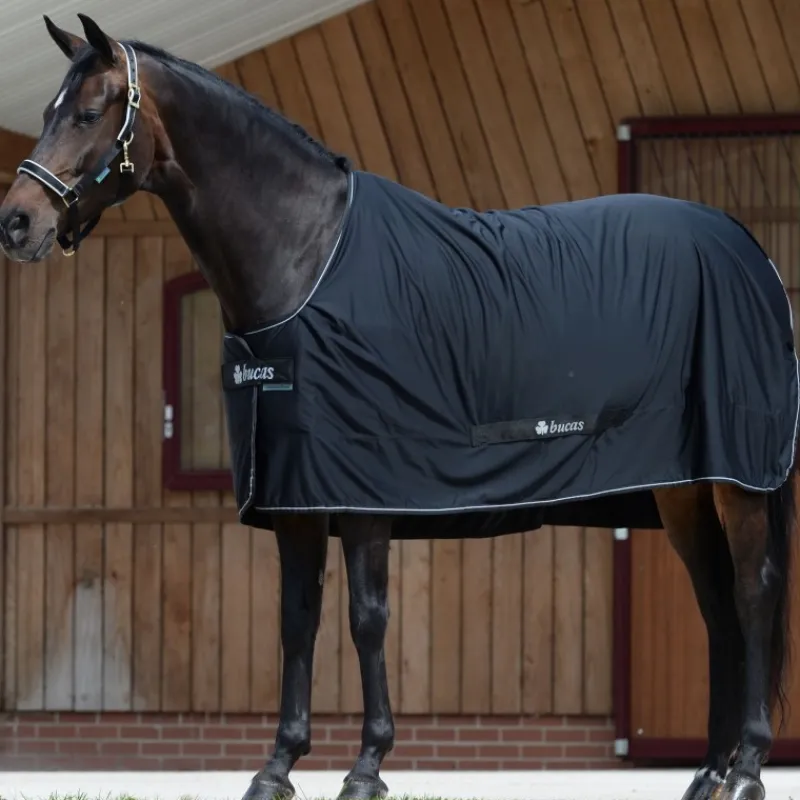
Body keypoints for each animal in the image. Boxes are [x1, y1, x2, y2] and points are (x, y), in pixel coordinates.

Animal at [0, 14, 796, 800]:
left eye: (91, 112)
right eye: (44, 113)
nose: (16, 222)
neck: (305, 258)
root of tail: (748, 250)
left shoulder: (364, 494)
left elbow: (366, 618)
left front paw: (367, 766)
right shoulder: (296, 494)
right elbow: (298, 620)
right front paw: (278, 765)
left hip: (737, 485)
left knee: (752, 598)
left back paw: (748, 769)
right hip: (681, 491)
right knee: (716, 607)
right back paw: (710, 772)